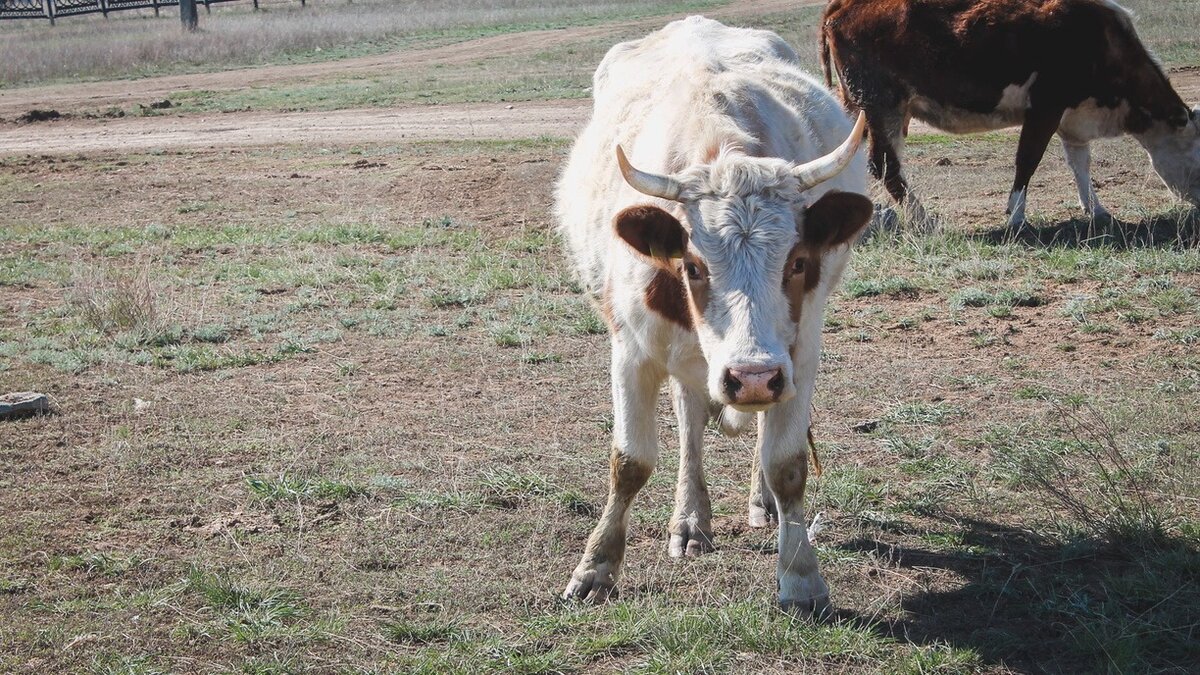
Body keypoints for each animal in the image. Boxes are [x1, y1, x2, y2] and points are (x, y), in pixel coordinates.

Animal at [556, 15, 878, 614]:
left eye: (798, 261)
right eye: (694, 266)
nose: (750, 376)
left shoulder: (799, 353)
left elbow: (786, 463)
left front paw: (801, 577)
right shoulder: (631, 351)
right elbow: (631, 461)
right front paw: (595, 567)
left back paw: (759, 504)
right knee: (689, 422)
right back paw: (690, 520)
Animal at [820, 0, 1200, 227]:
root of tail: (843, 5)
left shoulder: (1071, 117)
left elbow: (1080, 164)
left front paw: (1096, 209)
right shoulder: (1045, 108)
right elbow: (1027, 160)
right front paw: (1016, 216)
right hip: (882, 106)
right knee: (885, 164)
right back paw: (923, 218)